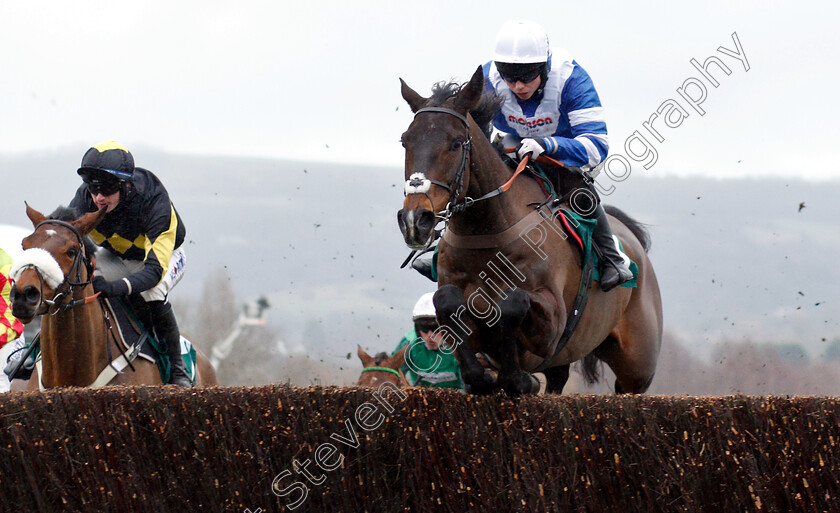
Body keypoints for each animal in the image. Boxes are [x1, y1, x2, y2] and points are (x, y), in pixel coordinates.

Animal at [398, 66, 668, 396]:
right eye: (405, 141)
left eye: (456, 142)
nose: (415, 219)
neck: (487, 234)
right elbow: (447, 301)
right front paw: (485, 377)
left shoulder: (553, 326)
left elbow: (514, 303)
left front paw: (519, 379)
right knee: (557, 379)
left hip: (638, 368)